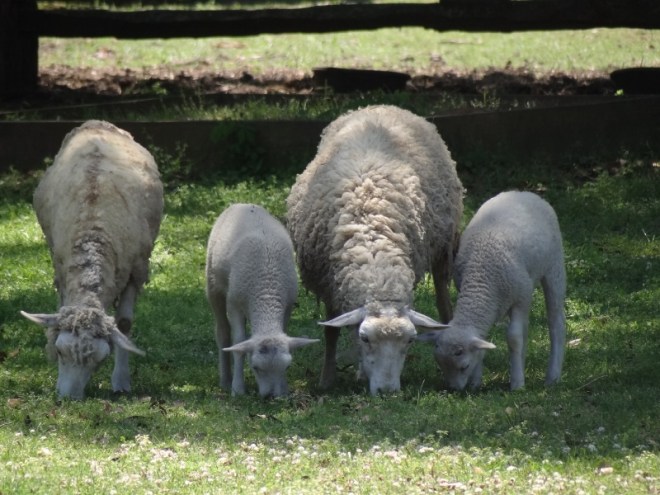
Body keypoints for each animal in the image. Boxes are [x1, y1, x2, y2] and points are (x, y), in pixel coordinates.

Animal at [21, 120, 163, 399]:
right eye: (61, 351)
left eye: (99, 361)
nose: (68, 398)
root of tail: (97, 123)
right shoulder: (61, 267)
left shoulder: (136, 270)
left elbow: (124, 323)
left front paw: (121, 381)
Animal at [206, 203, 319, 398]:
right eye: (256, 367)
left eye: (287, 367)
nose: (271, 396)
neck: (267, 293)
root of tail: (242, 204)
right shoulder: (234, 304)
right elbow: (238, 342)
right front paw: (238, 389)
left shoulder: (288, 305)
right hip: (214, 285)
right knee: (223, 332)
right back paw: (226, 380)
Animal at [286, 105, 464, 395]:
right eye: (365, 338)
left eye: (410, 341)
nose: (387, 391)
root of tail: (380, 106)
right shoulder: (328, 285)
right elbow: (331, 332)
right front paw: (327, 379)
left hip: (443, 246)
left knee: (442, 297)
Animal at [417, 190, 566, 391]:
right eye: (440, 365)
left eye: (464, 366)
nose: (454, 389)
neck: (481, 279)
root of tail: (523, 193)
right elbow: (486, 340)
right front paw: (476, 382)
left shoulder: (521, 297)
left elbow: (514, 338)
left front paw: (517, 384)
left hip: (554, 266)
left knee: (556, 322)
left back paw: (552, 376)